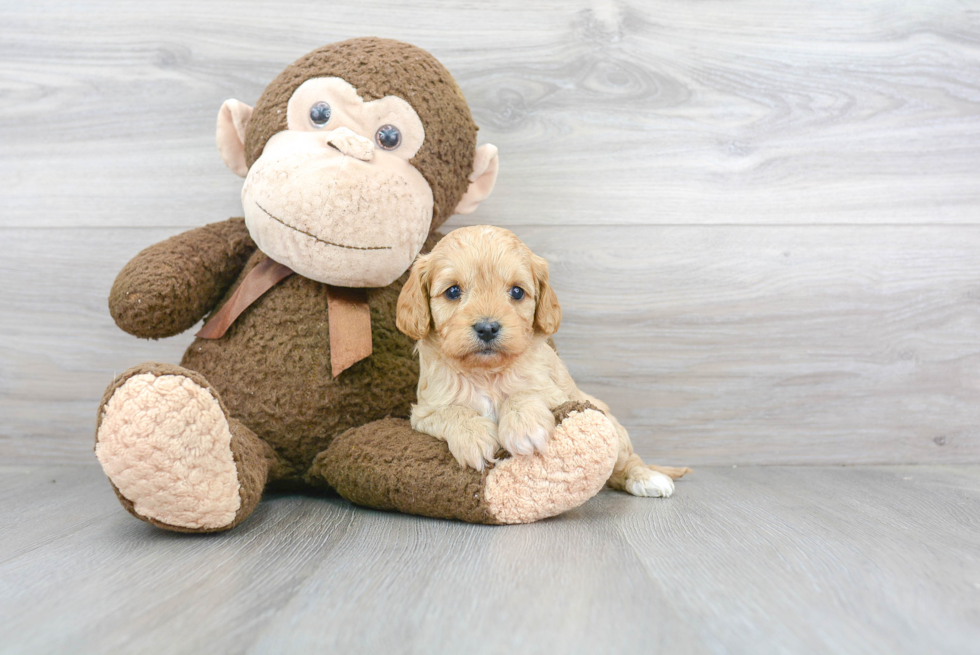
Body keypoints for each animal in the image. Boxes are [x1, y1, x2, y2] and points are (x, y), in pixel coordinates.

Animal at [396, 226, 688, 498]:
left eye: (516, 292)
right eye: (453, 291)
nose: (487, 328)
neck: (487, 374)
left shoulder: (556, 393)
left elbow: (523, 393)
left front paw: (524, 428)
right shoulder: (425, 411)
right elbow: (452, 411)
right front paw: (474, 436)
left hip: (612, 424)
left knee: (626, 461)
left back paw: (647, 478)